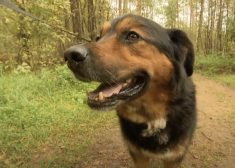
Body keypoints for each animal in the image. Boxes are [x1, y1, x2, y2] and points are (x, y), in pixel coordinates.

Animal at [64, 14, 196, 168]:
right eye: (98, 37)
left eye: (133, 36)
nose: (70, 56)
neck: (152, 117)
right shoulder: (138, 155)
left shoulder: (173, 159)